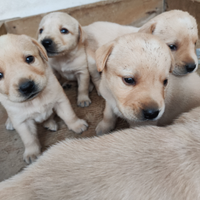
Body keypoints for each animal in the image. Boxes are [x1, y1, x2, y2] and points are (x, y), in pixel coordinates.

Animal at [0, 34, 87, 163]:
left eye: (29, 59)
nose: (26, 86)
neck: (35, 99)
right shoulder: (22, 122)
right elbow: (29, 139)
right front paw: (32, 153)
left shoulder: (60, 101)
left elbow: (69, 116)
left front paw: (77, 125)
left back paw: (50, 123)